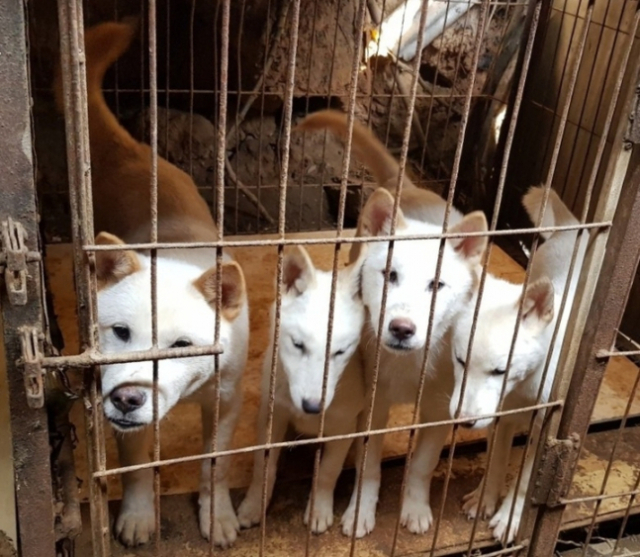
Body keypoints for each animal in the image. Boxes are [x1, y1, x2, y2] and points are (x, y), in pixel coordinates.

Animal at [53, 20, 249, 548]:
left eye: (183, 345)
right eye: (121, 333)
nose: (128, 398)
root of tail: (135, 152)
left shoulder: (225, 399)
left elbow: (216, 464)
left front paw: (217, 515)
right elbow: (137, 467)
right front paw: (139, 516)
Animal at [236, 245, 368, 532]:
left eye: (340, 352)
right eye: (297, 345)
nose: (312, 407)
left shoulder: (343, 428)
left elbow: (328, 472)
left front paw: (318, 509)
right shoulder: (272, 416)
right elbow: (263, 467)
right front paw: (254, 505)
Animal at [298, 109, 488, 540]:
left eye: (437, 285)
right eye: (389, 275)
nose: (402, 328)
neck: (407, 367)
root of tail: (410, 186)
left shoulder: (438, 408)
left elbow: (422, 464)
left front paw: (415, 509)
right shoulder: (372, 404)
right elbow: (368, 465)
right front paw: (359, 512)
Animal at [448, 185, 588, 540]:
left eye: (500, 370)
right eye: (459, 360)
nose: (463, 421)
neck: (524, 388)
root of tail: (575, 227)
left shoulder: (547, 428)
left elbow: (528, 480)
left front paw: (510, 516)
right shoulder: (500, 414)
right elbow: (496, 458)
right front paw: (485, 498)